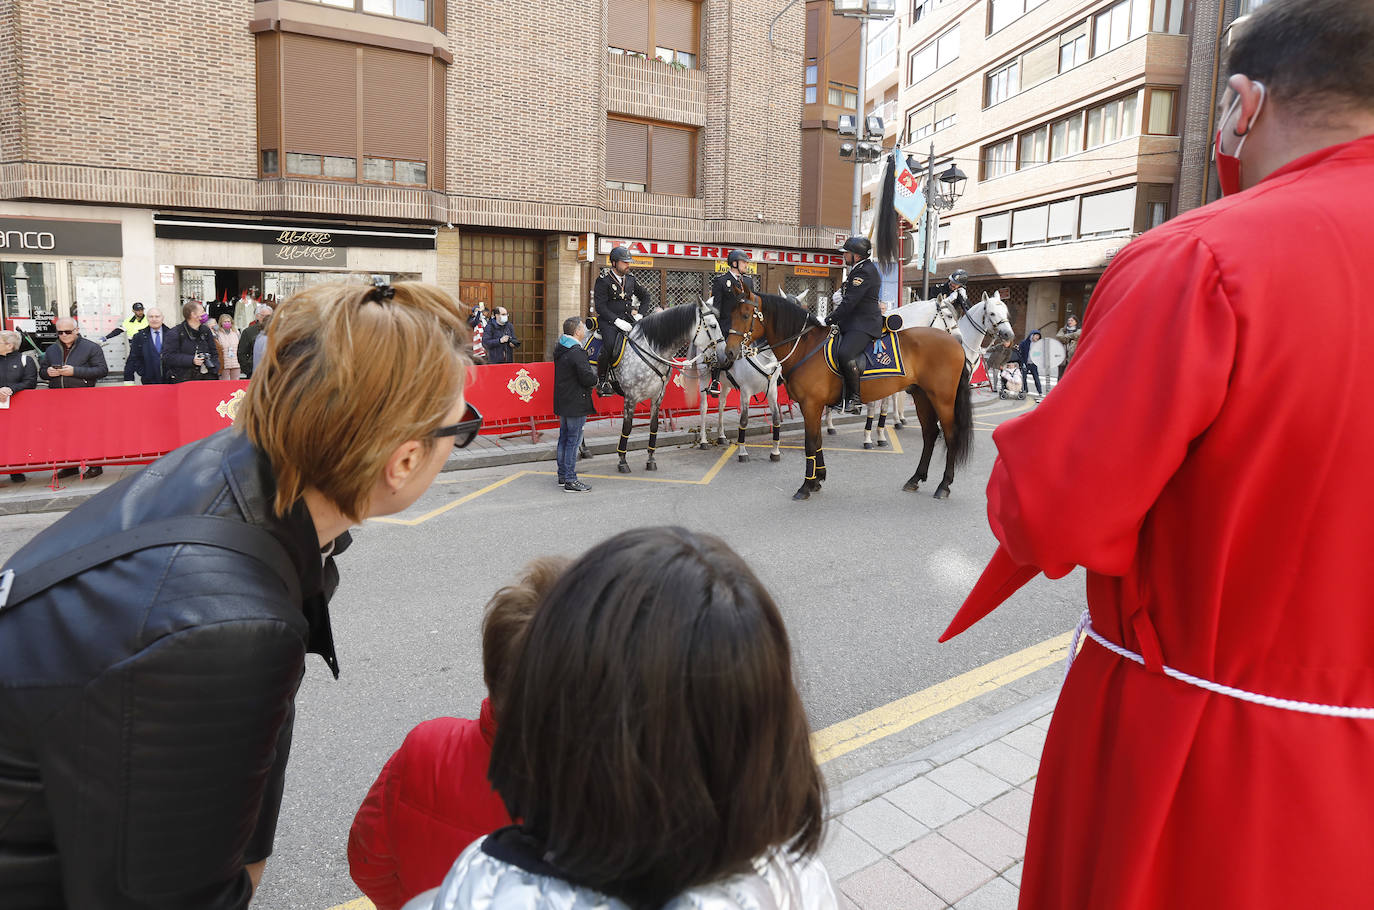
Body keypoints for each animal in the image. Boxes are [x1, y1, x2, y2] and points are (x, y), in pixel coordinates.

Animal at [730, 285, 978, 503]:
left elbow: (810, 443)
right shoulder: (812, 405)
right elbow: (817, 440)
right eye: (731, 313)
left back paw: (944, 485)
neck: (804, 345)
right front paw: (818, 478)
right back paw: (916, 478)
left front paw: (806, 486)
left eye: (745, 315)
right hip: (922, 396)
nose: (730, 353)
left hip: (942, 399)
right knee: (930, 434)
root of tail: (954, 344)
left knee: (950, 435)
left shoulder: (811, 404)